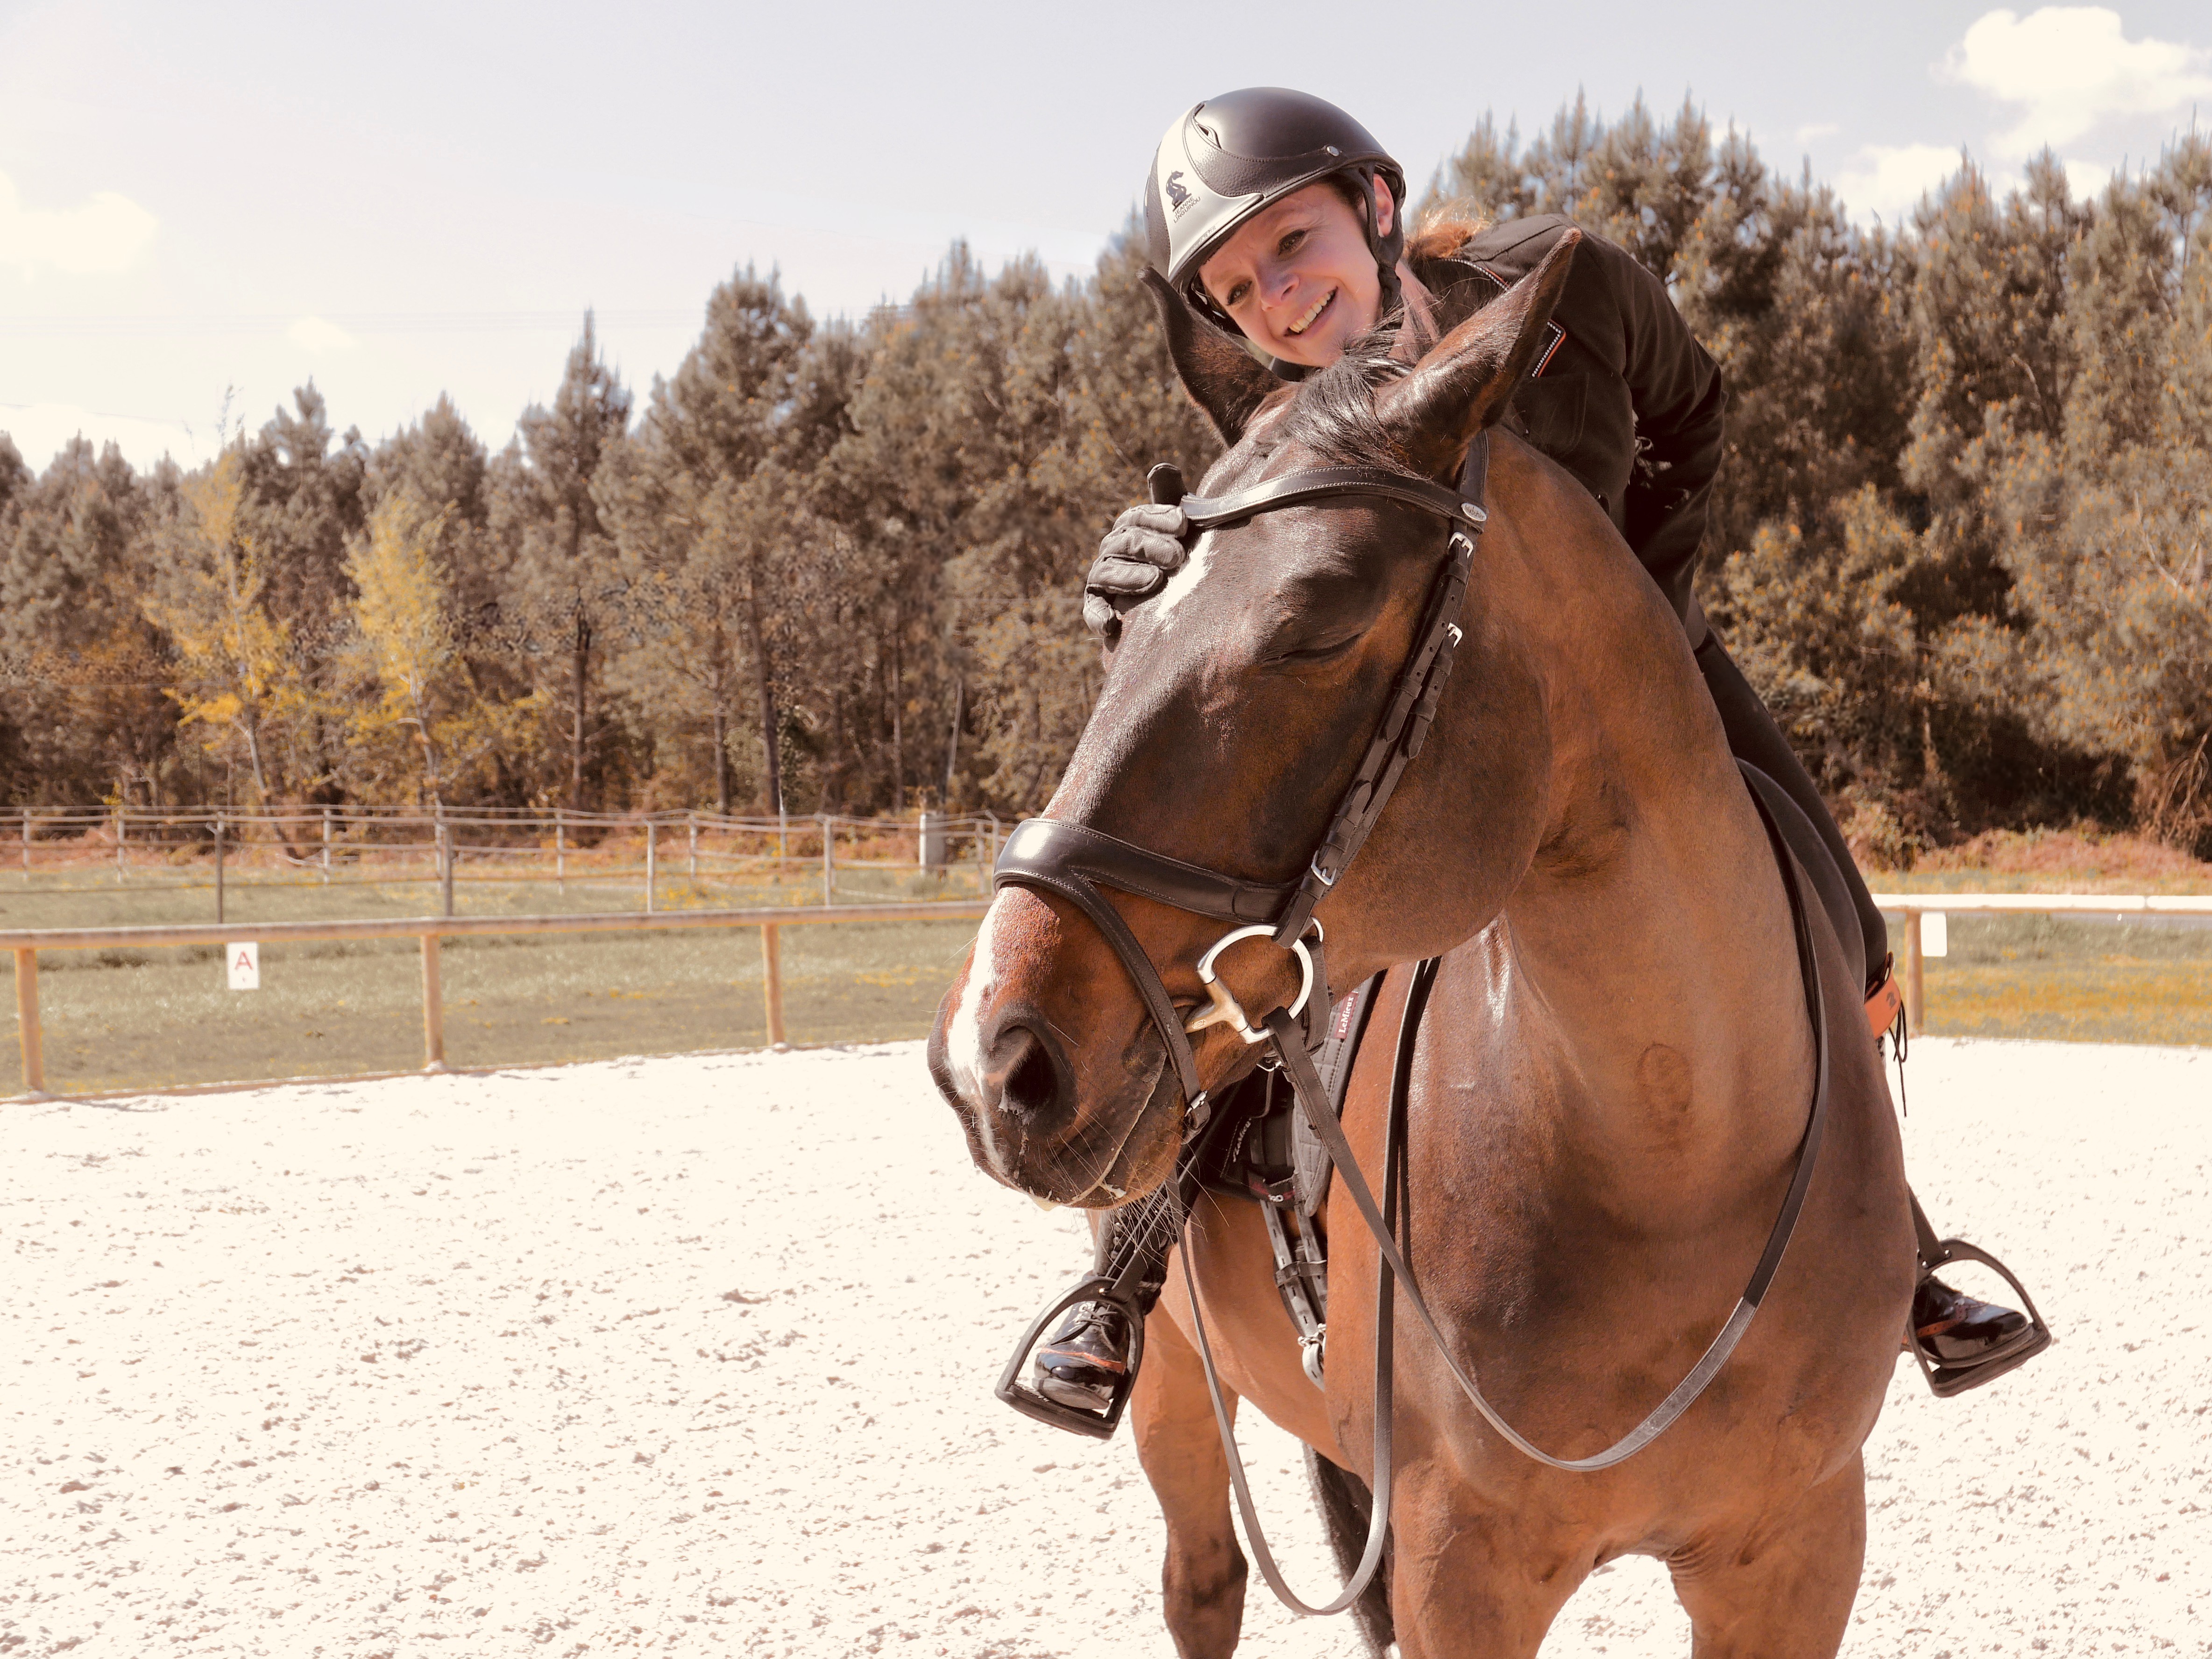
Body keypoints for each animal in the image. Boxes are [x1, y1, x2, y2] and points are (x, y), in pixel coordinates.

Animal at [927, 234, 1916, 1658]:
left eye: (1323, 621)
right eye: (1120, 631)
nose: (992, 1059)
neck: (1677, 1151)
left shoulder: (1795, 1555)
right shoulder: (1463, 1563)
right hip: (1177, 1388)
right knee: (1203, 1578)